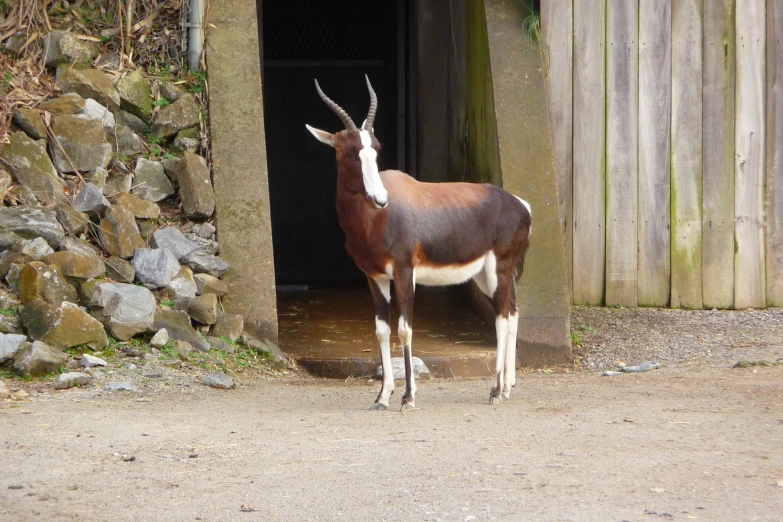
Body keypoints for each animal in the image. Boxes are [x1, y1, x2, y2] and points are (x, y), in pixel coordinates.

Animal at [306, 76, 532, 410]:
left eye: (376, 148)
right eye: (351, 151)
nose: (381, 199)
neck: (377, 218)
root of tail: (520, 204)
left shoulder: (404, 273)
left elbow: (405, 330)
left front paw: (408, 397)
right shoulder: (374, 277)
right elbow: (382, 331)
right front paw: (382, 396)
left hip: (498, 271)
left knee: (502, 318)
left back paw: (494, 391)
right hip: (483, 275)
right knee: (512, 312)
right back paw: (506, 387)